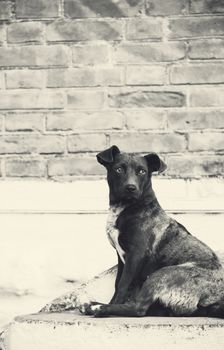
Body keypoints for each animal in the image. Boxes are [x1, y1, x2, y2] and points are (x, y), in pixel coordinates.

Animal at [84, 145, 224, 318]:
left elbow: (123, 285)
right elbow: (118, 284)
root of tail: (213, 299)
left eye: (142, 171)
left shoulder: (135, 255)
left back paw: (99, 308)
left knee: (139, 308)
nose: (131, 188)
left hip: (161, 274)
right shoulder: (121, 258)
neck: (129, 206)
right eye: (118, 169)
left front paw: (110, 305)